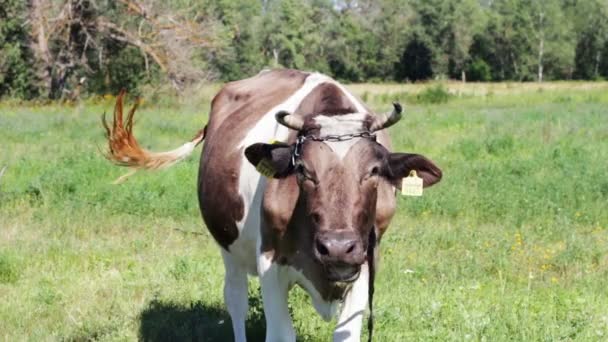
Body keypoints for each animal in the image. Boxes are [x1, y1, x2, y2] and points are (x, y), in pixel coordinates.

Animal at [102, 68, 440, 340]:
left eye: (374, 171)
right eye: (303, 170)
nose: (337, 248)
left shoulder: (367, 261)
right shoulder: (269, 263)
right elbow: (280, 334)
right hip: (228, 246)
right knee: (235, 301)